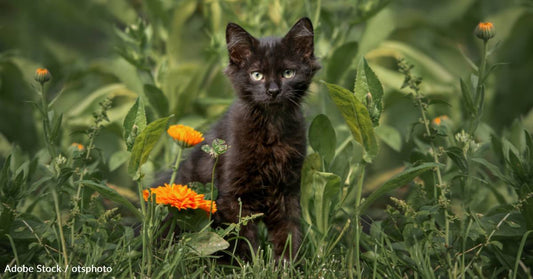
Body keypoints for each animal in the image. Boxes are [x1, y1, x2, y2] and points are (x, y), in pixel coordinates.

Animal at [175, 18, 318, 260]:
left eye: (288, 73)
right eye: (257, 75)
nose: (273, 91)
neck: (271, 129)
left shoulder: (288, 190)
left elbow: (289, 231)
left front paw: (286, 263)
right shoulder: (232, 195)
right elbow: (241, 239)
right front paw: (249, 263)